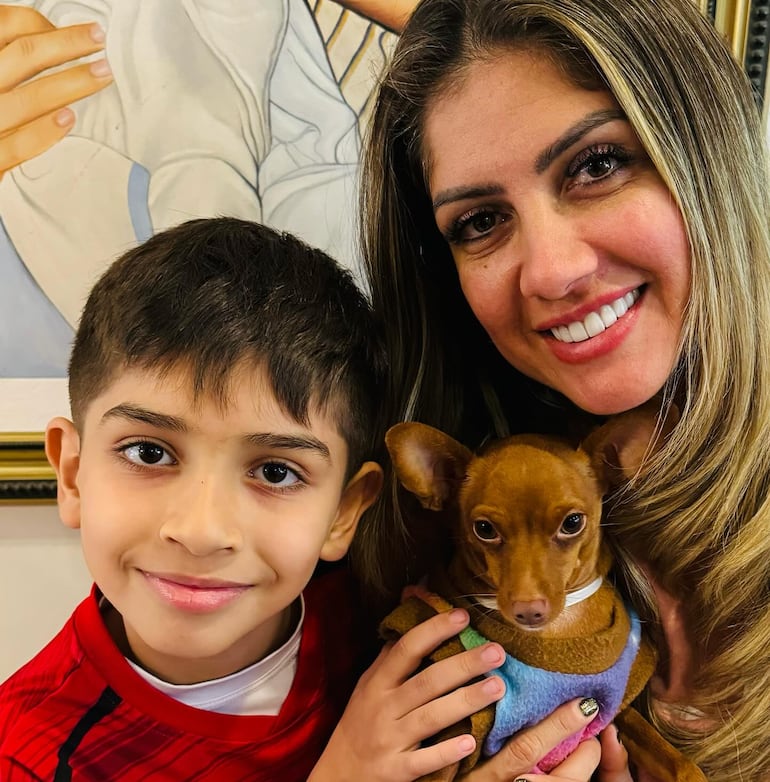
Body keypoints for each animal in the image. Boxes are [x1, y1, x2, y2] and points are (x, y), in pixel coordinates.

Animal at [378, 410, 704, 782]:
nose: (529, 610)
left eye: (573, 523)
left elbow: (678, 762)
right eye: (484, 529)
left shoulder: (613, 710)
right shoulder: (457, 735)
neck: (559, 631)